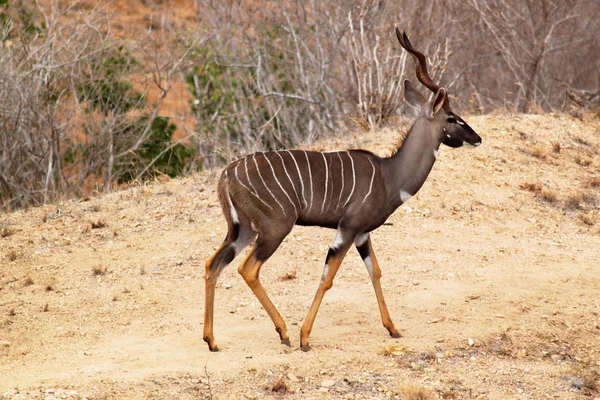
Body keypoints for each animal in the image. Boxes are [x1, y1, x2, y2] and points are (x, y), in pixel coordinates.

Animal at [204, 28, 480, 352]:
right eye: (452, 118)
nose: (477, 138)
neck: (390, 175)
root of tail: (226, 175)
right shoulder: (348, 228)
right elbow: (328, 277)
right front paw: (305, 337)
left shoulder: (362, 234)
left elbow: (375, 271)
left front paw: (393, 329)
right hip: (275, 228)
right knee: (247, 269)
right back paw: (283, 332)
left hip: (242, 229)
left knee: (213, 264)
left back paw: (211, 340)